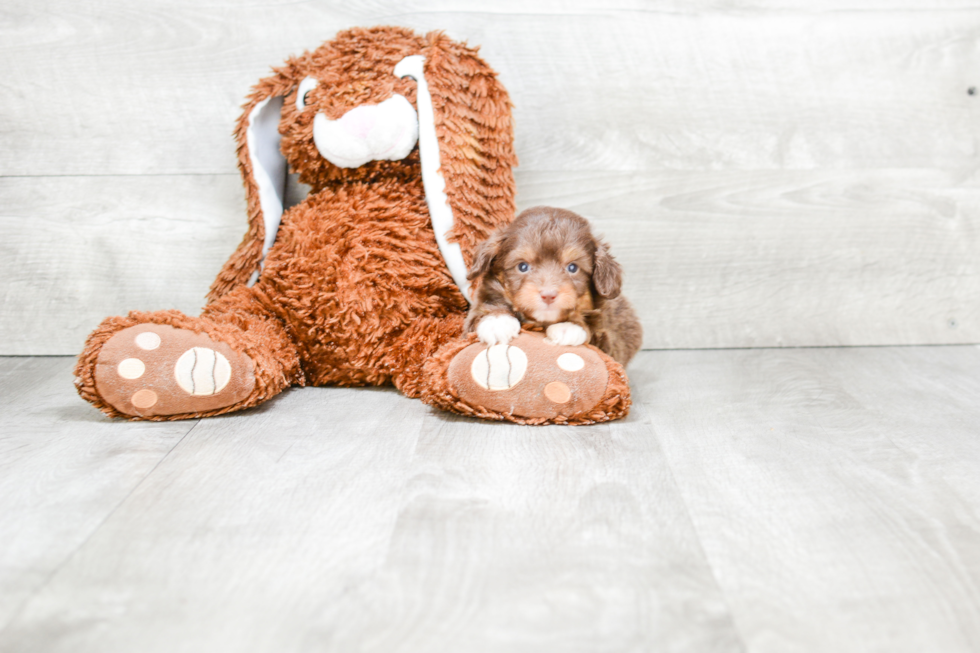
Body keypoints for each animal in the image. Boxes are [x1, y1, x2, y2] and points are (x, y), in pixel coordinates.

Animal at [466, 206, 644, 364]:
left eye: (572, 268)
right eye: (522, 266)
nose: (548, 295)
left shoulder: (608, 342)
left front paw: (569, 327)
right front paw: (497, 322)